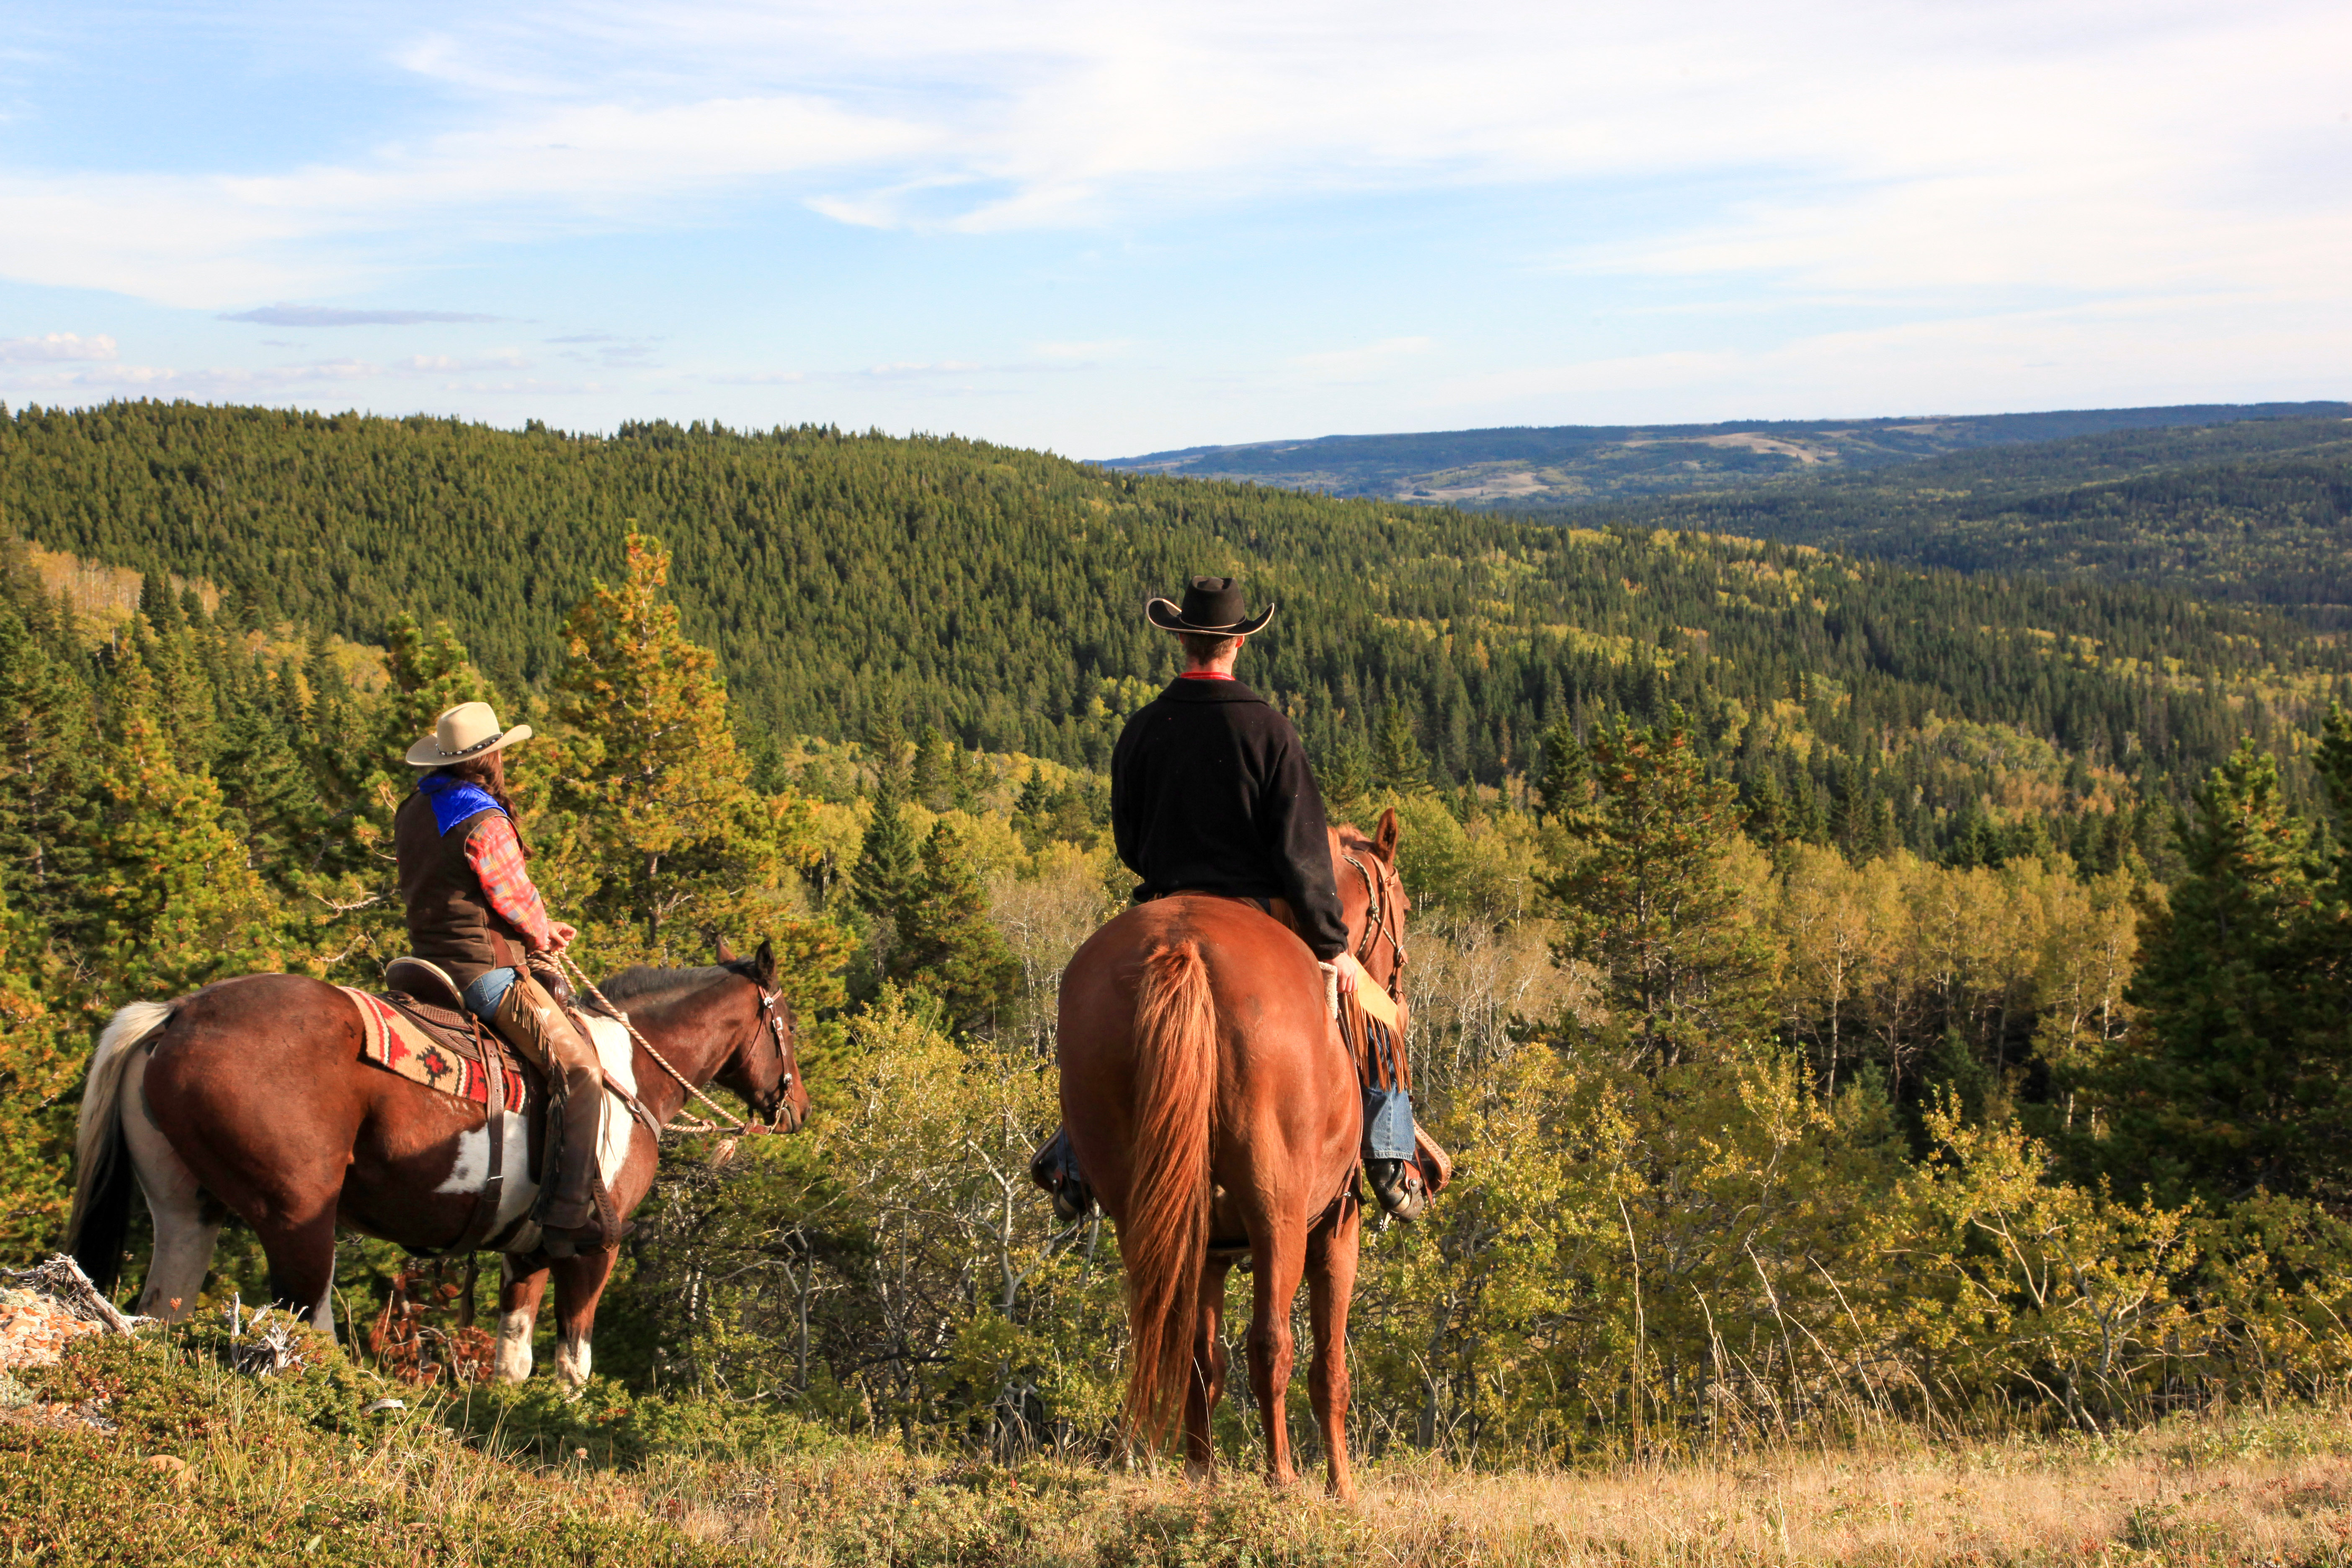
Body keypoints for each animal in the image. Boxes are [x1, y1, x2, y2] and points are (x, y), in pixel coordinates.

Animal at [67, 940, 809, 1392]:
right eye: (789, 1026)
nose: (796, 1108)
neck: (628, 1075)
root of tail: (177, 1014)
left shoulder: (527, 1250)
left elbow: (514, 1359)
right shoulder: (595, 1247)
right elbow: (573, 1365)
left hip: (186, 1211)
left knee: (163, 1310)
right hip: (297, 1217)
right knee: (308, 1328)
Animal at [1058, 808, 1402, 1495]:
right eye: (1401, 905)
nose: (1395, 981)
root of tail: (1184, 948)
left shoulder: (1212, 1251)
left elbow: (1202, 1356)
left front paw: (1204, 1470)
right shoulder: (1336, 1229)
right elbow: (1329, 1368)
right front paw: (1341, 1487)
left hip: (1146, 1210)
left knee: (1175, 1336)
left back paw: (1202, 1472)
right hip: (1279, 1214)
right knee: (1272, 1343)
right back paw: (1282, 1478)